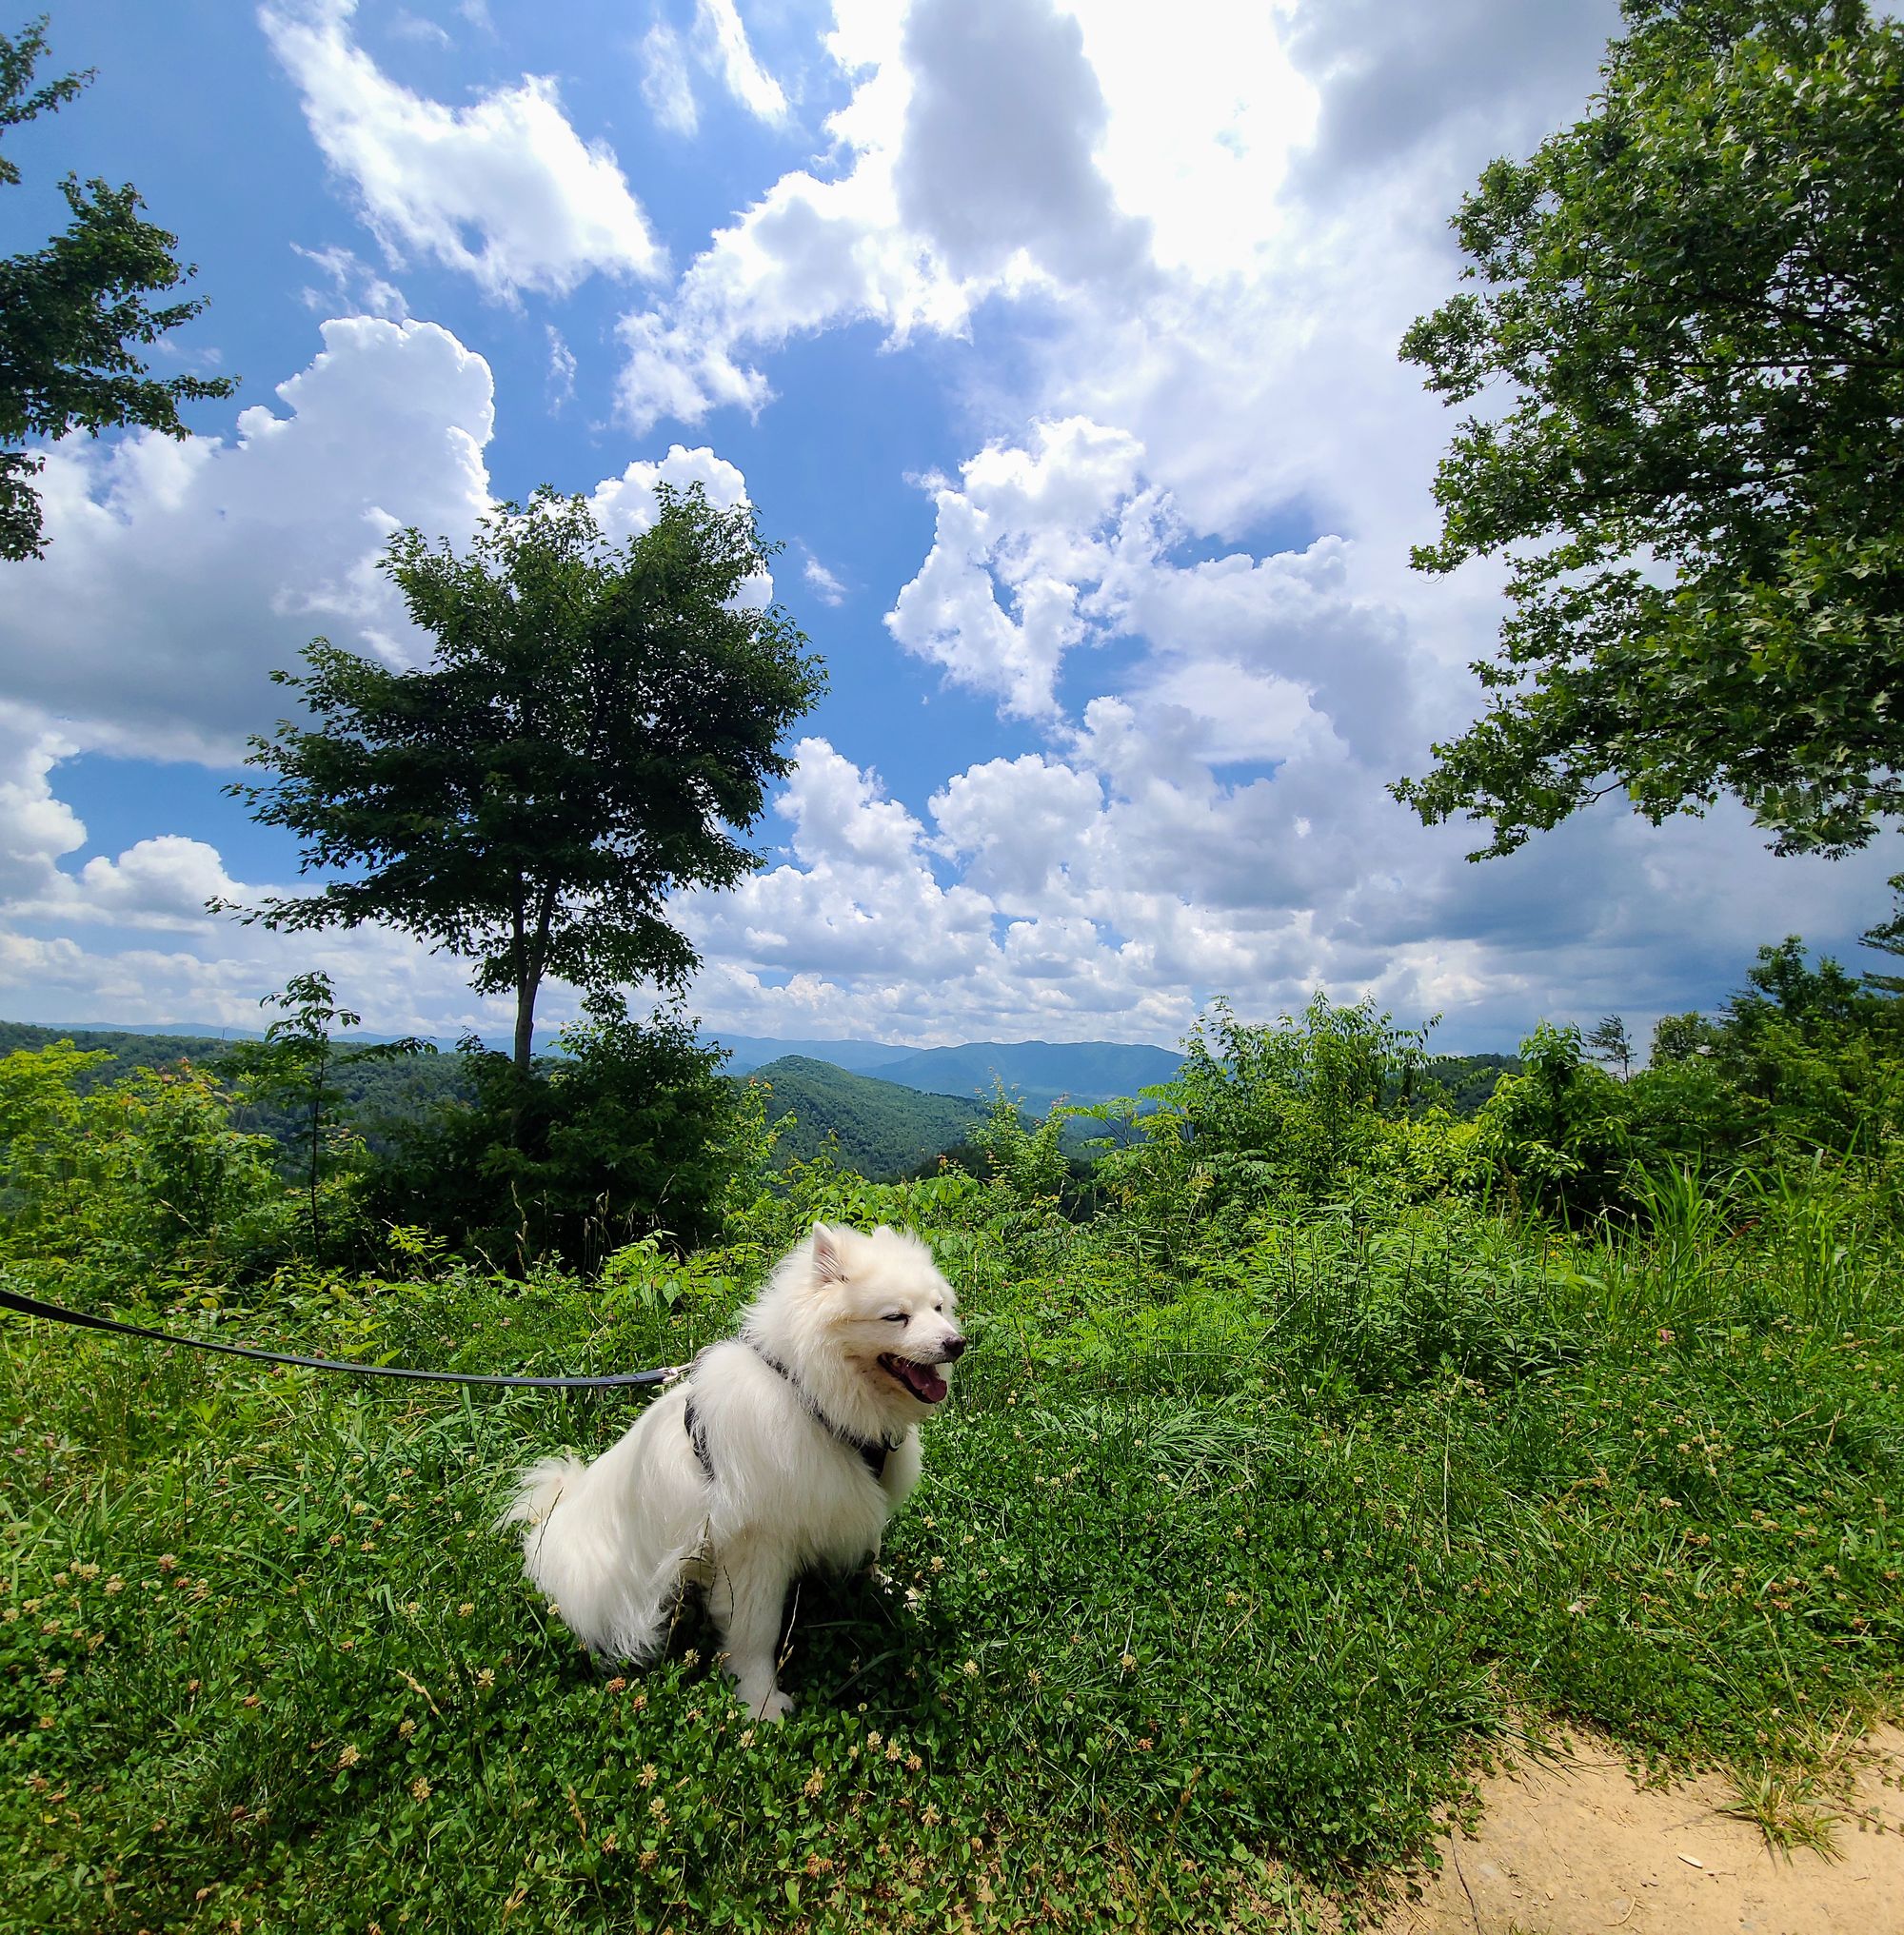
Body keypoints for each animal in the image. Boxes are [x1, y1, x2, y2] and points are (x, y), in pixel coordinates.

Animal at [503, 1221, 965, 1721]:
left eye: (938, 1308)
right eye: (896, 1317)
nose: (956, 1343)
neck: (812, 1399)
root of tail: (551, 1517)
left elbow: (871, 1550)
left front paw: (893, 1590)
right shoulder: (756, 1542)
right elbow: (756, 1630)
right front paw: (761, 1701)